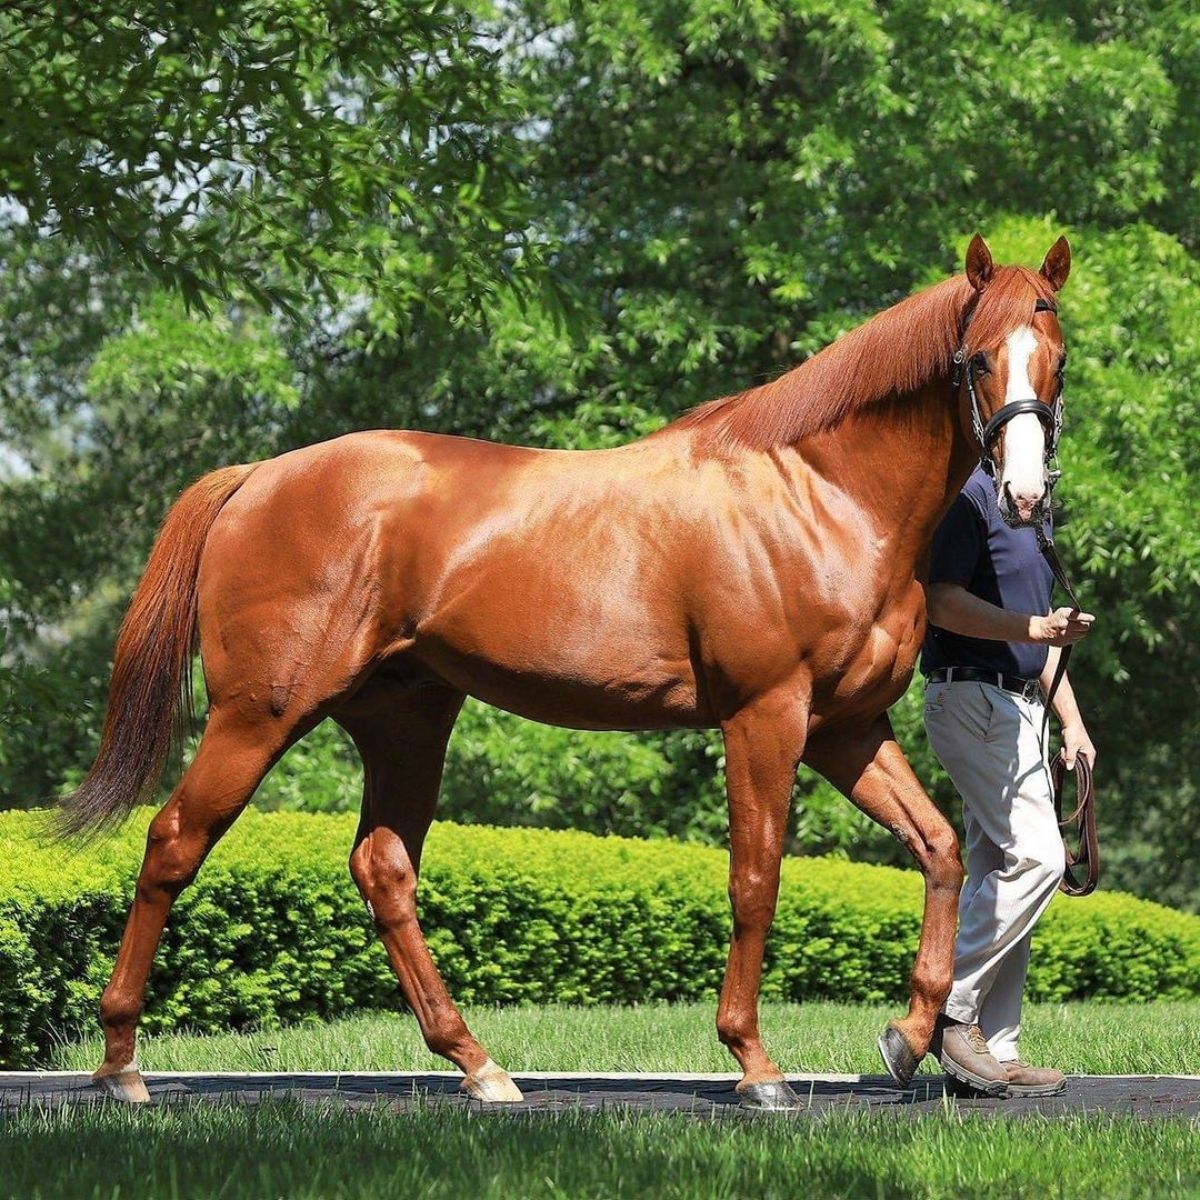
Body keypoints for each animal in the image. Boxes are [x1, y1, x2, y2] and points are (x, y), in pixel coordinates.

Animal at [63, 231, 1070, 1104]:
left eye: (1055, 355)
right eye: (978, 358)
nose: (1024, 494)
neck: (816, 493)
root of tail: (257, 477)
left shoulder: (844, 728)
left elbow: (938, 851)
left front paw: (908, 1035)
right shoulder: (766, 716)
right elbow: (755, 879)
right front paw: (754, 1063)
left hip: (405, 718)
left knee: (383, 868)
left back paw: (479, 1066)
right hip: (260, 713)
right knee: (173, 842)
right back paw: (120, 1064)